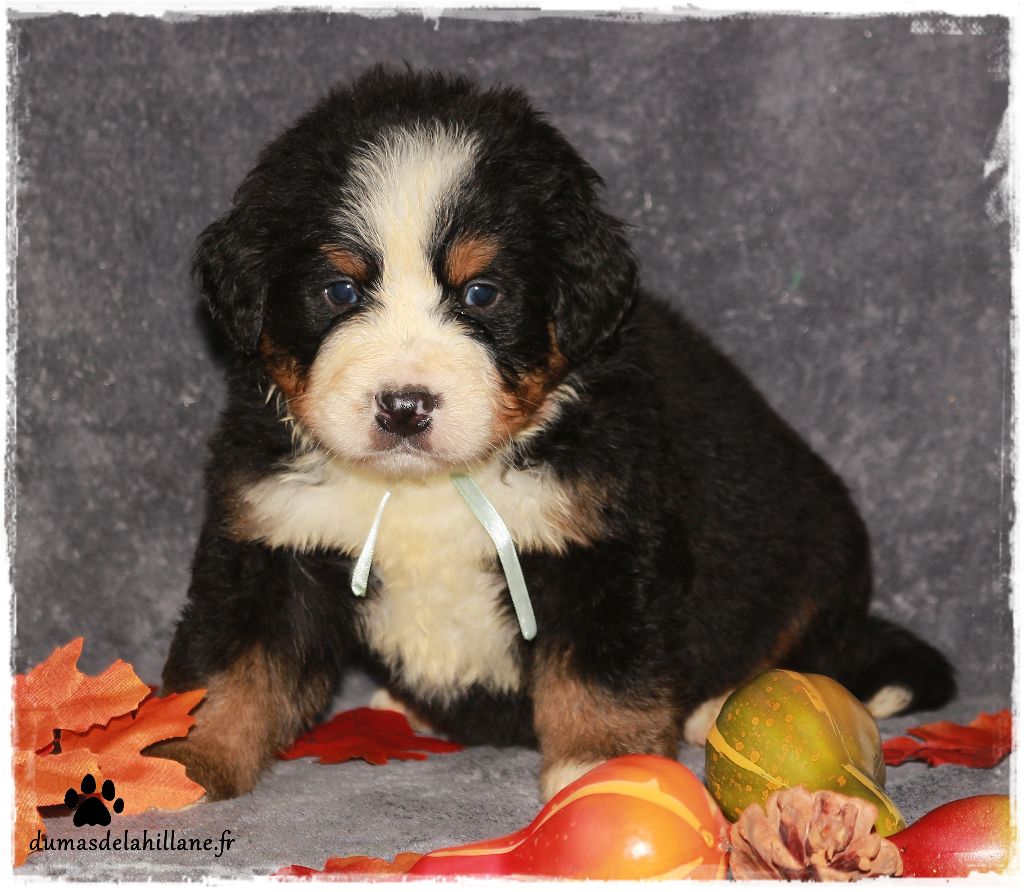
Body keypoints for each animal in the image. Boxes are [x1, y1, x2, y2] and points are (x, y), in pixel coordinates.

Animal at [156, 67, 954, 801]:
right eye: (340, 290)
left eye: (482, 293)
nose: (405, 406)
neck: (429, 489)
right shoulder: (271, 541)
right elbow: (227, 671)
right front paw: (179, 763)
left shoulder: (603, 547)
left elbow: (601, 680)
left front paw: (603, 769)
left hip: (817, 562)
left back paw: (723, 707)